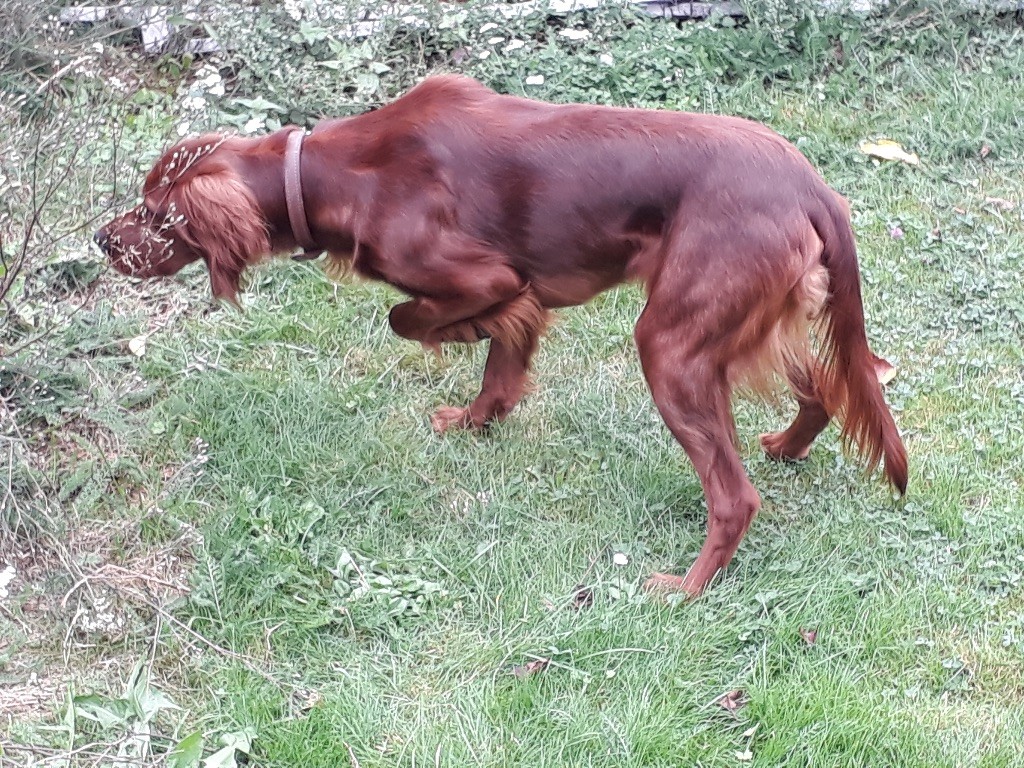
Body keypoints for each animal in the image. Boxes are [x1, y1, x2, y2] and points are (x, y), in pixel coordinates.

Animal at [96, 75, 909, 598]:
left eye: (157, 214)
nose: (103, 239)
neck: (329, 170)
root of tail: (811, 185)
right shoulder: (518, 285)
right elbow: (500, 363)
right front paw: (478, 416)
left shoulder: (491, 275)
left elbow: (415, 316)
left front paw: (461, 341)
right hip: (739, 325)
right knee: (825, 390)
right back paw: (786, 448)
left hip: (671, 345)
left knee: (735, 497)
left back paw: (685, 587)